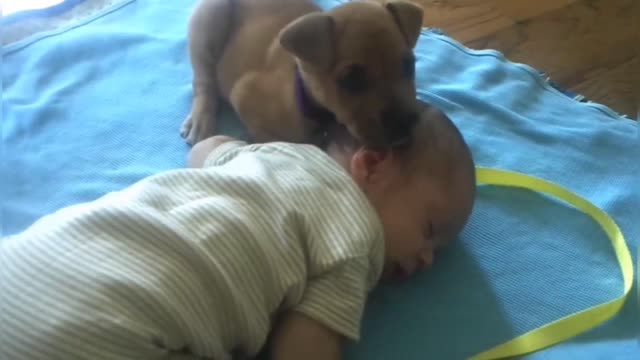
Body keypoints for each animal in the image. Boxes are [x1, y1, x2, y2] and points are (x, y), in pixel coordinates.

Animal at [180, 0, 424, 149]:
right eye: (351, 79)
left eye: (409, 65)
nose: (406, 124)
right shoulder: (243, 93)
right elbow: (271, 138)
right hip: (210, 14)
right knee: (203, 80)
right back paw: (201, 118)